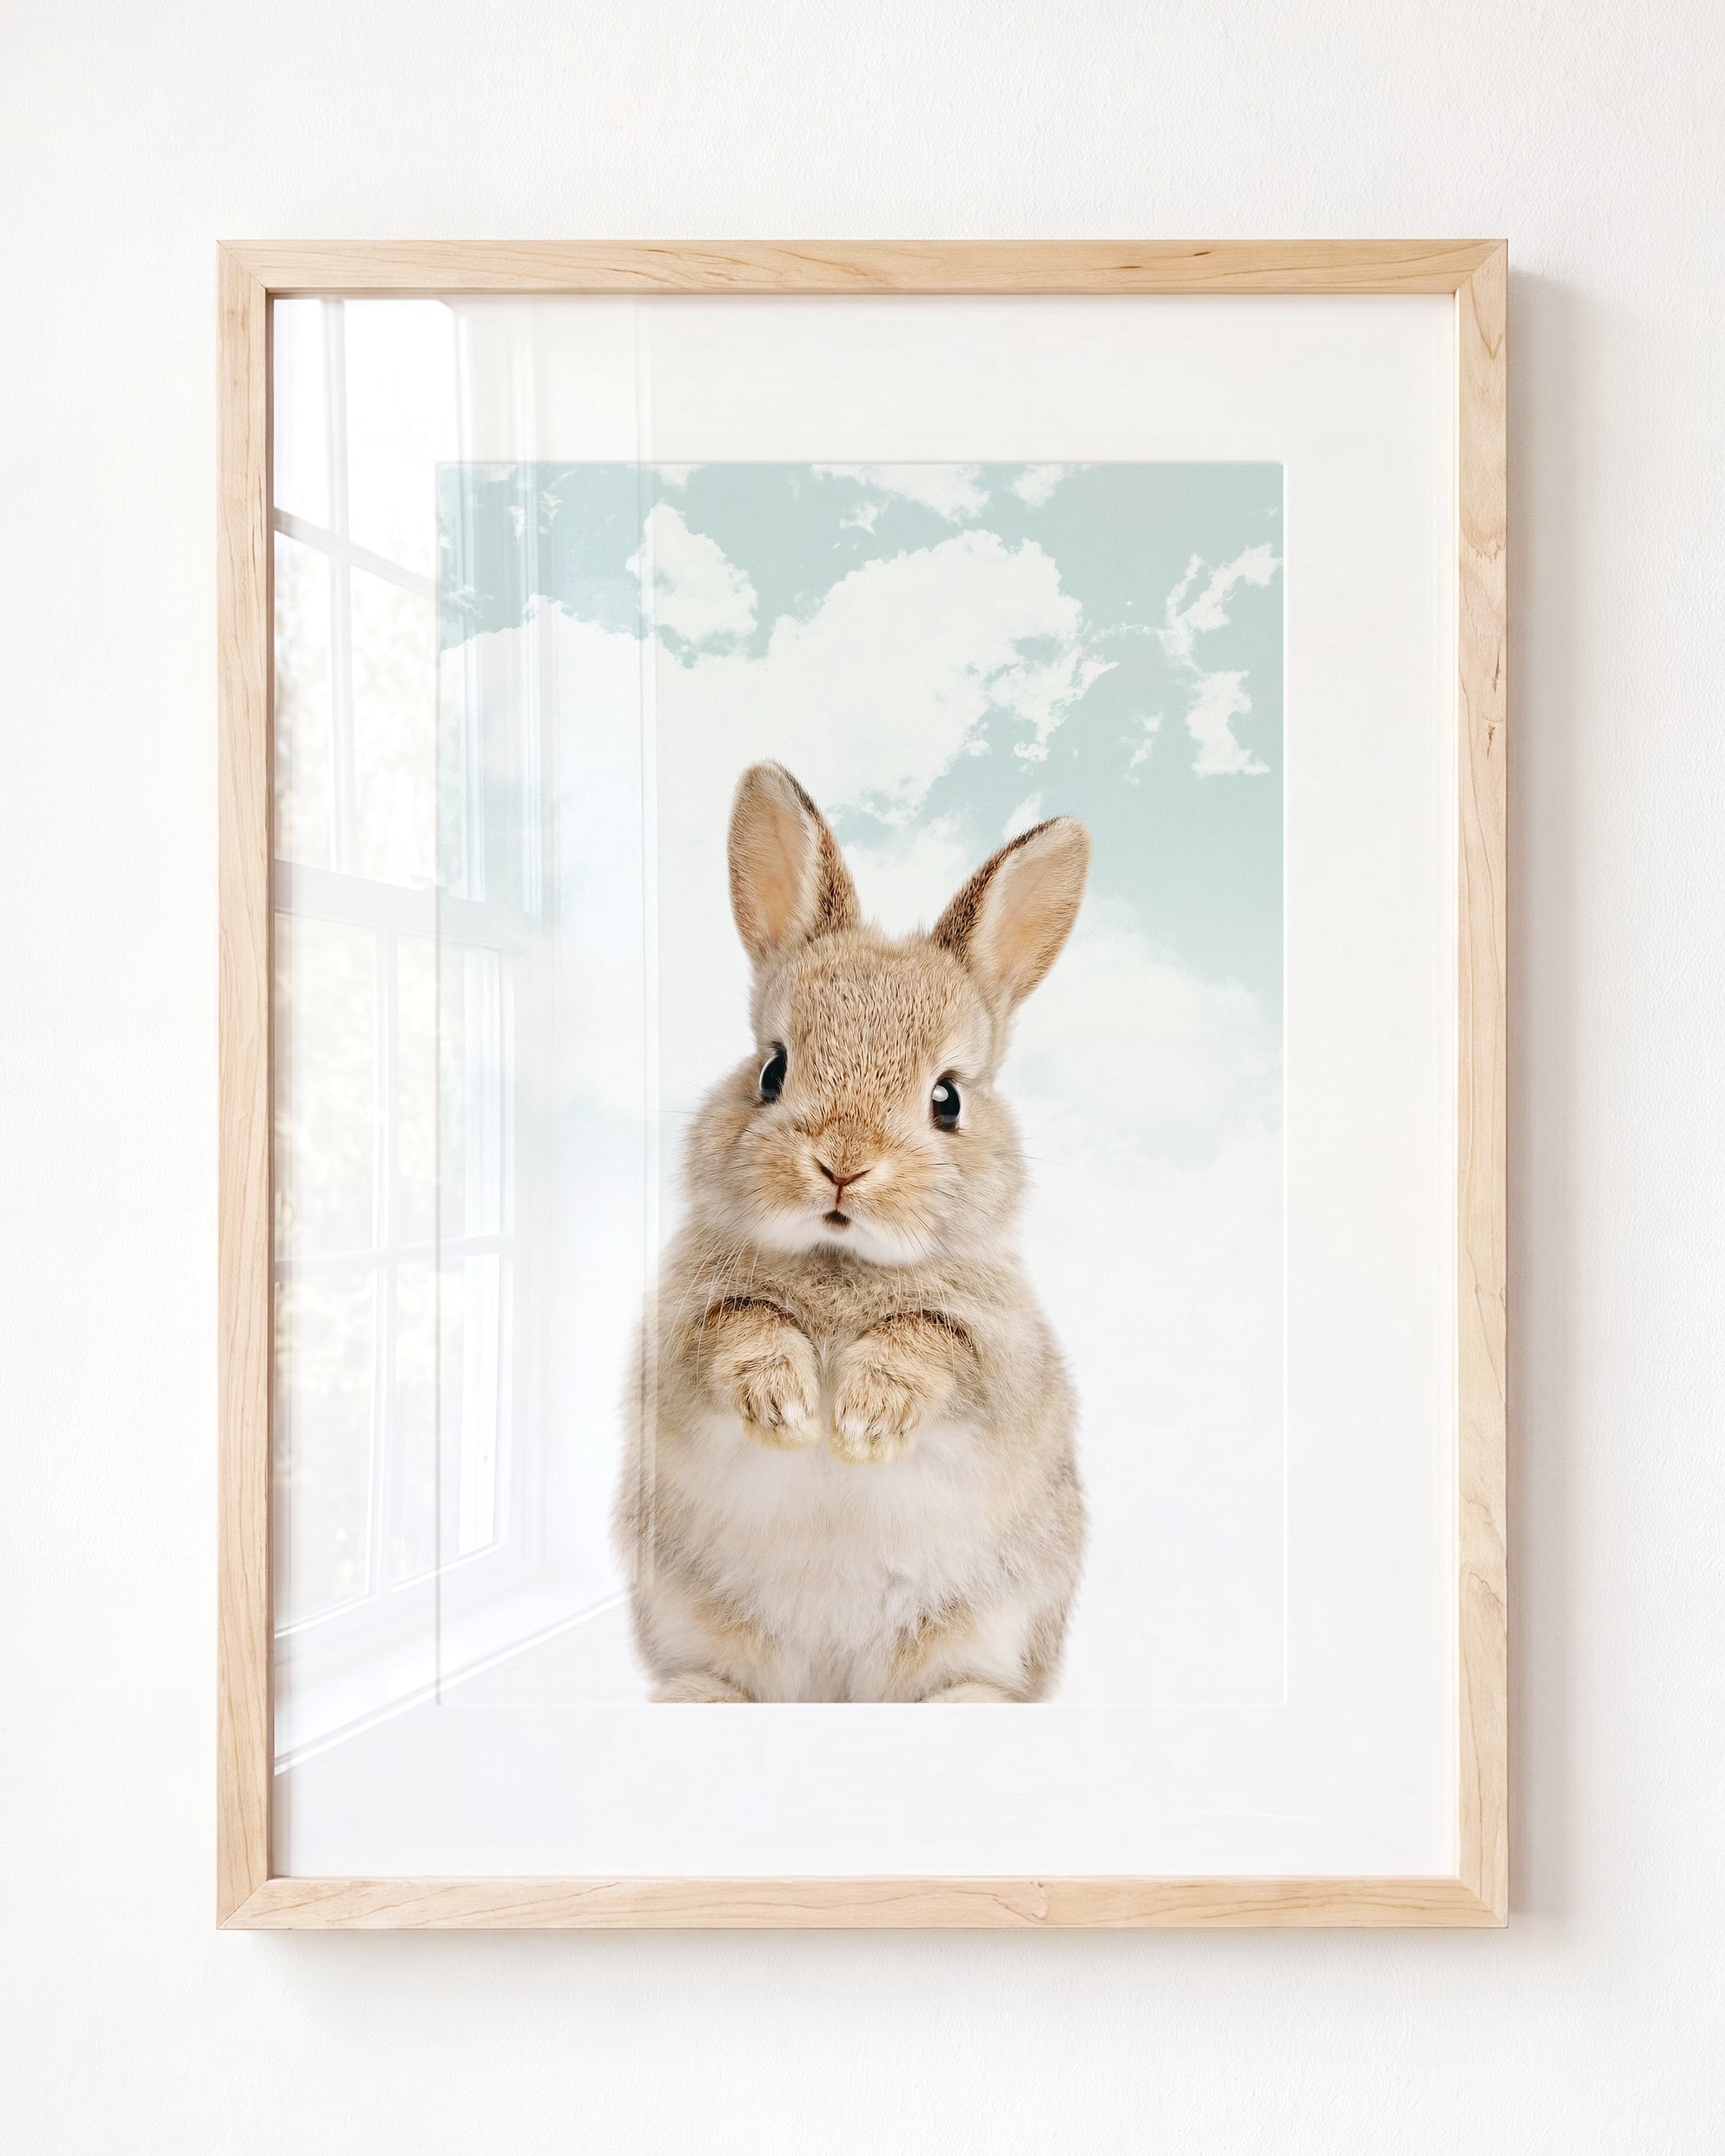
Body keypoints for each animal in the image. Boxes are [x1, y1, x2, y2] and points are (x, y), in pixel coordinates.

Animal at [615, 761, 1090, 1702]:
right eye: (772, 1069)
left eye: (947, 1098)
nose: (842, 1164)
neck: (840, 1261)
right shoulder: (680, 1340)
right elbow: (741, 1327)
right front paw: (789, 1408)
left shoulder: (1001, 1360)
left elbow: (930, 1340)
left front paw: (864, 1421)